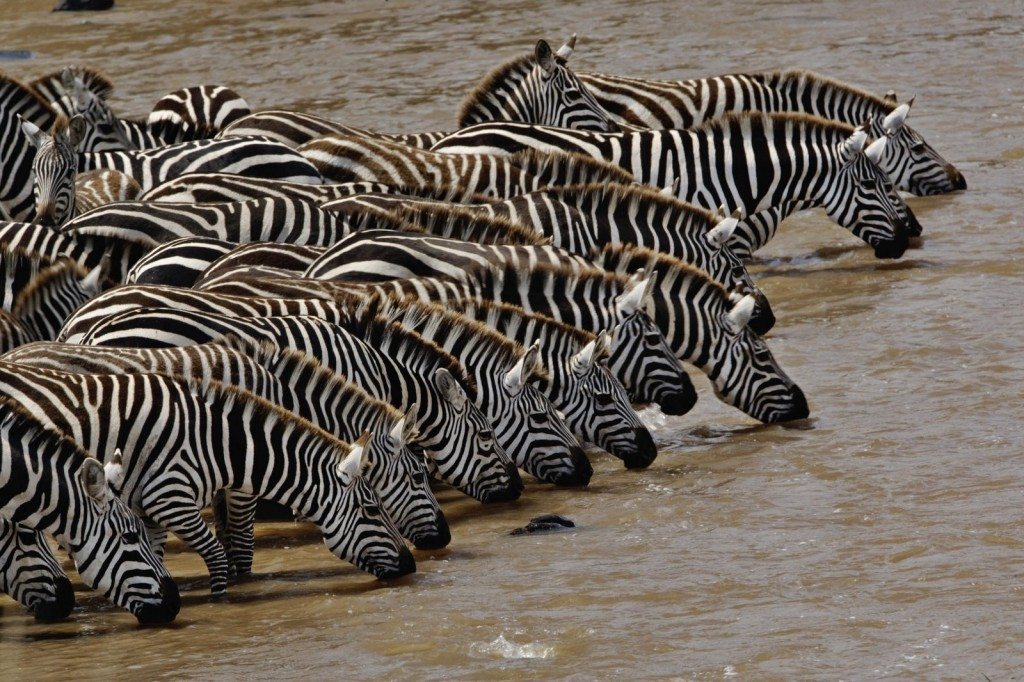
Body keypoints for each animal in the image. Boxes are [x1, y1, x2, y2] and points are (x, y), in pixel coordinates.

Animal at [2, 337, 448, 561]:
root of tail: (15, 350)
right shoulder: (242, 470)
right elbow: (241, 535)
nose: (444, 538)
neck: (281, 392)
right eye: (418, 475)